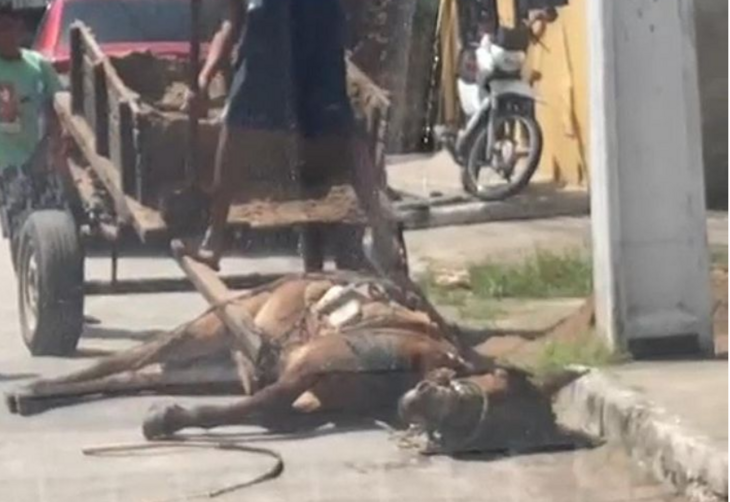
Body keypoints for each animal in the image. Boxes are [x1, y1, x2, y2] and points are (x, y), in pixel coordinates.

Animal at [2, 272, 576, 452]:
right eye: (491, 389)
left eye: (498, 431)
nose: (419, 405)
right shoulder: (307, 367)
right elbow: (258, 406)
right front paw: (169, 420)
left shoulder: (312, 392)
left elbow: (272, 409)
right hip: (201, 331)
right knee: (120, 362)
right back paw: (33, 390)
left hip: (206, 366)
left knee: (134, 376)